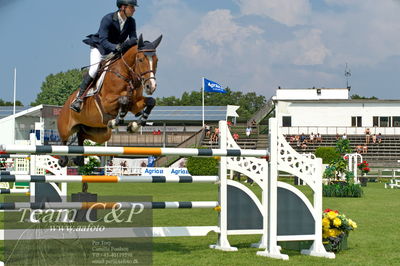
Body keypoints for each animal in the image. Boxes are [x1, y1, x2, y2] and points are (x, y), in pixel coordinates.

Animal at [56, 34, 162, 191]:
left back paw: (78, 159)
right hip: (66, 127)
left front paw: (135, 125)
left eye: (156, 60)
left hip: (99, 134)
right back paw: (64, 159)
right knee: (63, 141)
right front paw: (117, 121)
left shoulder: (135, 103)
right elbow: (123, 100)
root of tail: (64, 105)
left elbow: (150, 102)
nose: (151, 86)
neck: (126, 74)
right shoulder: (106, 102)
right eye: (141, 59)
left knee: (81, 136)